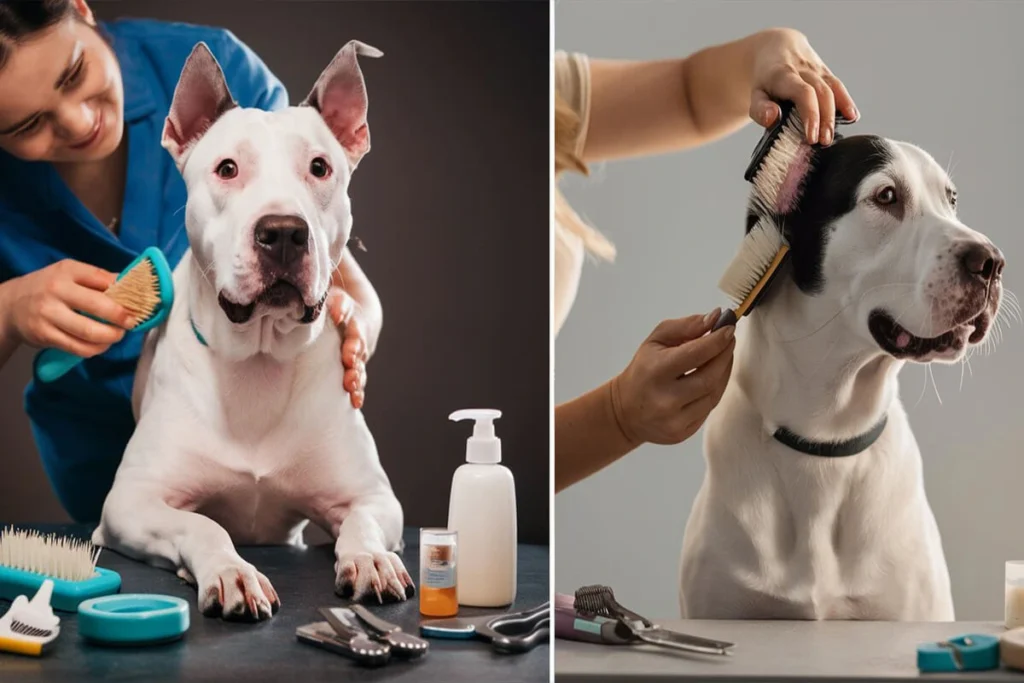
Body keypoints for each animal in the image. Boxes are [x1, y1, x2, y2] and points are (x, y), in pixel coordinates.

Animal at [92, 40, 411, 622]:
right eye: (227, 168)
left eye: (319, 167)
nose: (283, 232)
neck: (260, 358)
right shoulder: (130, 502)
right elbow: (203, 524)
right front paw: (231, 571)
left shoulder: (375, 496)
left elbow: (363, 522)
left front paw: (371, 560)